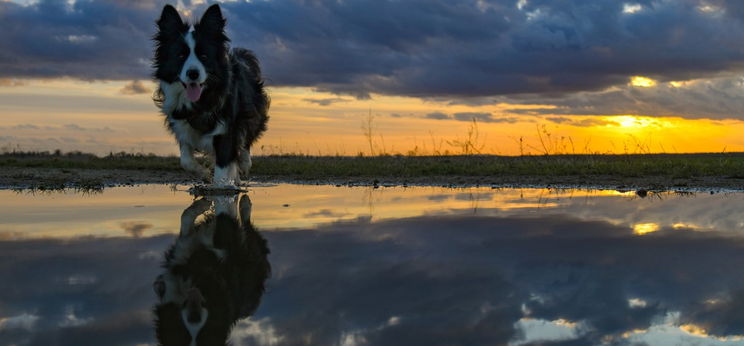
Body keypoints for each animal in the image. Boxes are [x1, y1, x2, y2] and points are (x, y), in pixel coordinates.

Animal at [153, 4, 268, 187]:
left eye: (204, 56)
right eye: (180, 56)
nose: (193, 74)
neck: (201, 100)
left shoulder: (227, 127)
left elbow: (223, 165)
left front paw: (222, 186)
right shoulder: (180, 122)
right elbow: (185, 160)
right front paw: (204, 174)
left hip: (252, 111)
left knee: (246, 140)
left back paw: (244, 165)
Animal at [153, 196, 270, 344]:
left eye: (205, 331)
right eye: (183, 331)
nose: (194, 315)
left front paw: (208, 203)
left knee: (248, 231)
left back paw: (244, 203)